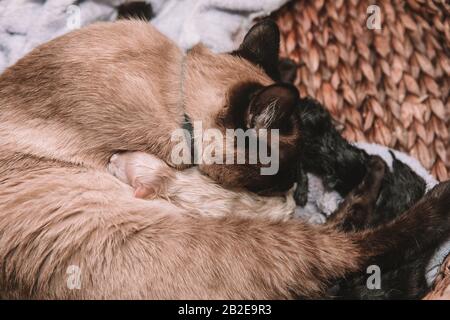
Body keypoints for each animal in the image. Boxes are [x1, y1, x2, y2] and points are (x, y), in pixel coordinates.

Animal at [0, 20, 450, 298]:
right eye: (279, 177)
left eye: (294, 174)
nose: (296, 192)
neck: (176, 94)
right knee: (356, 246)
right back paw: (426, 192)